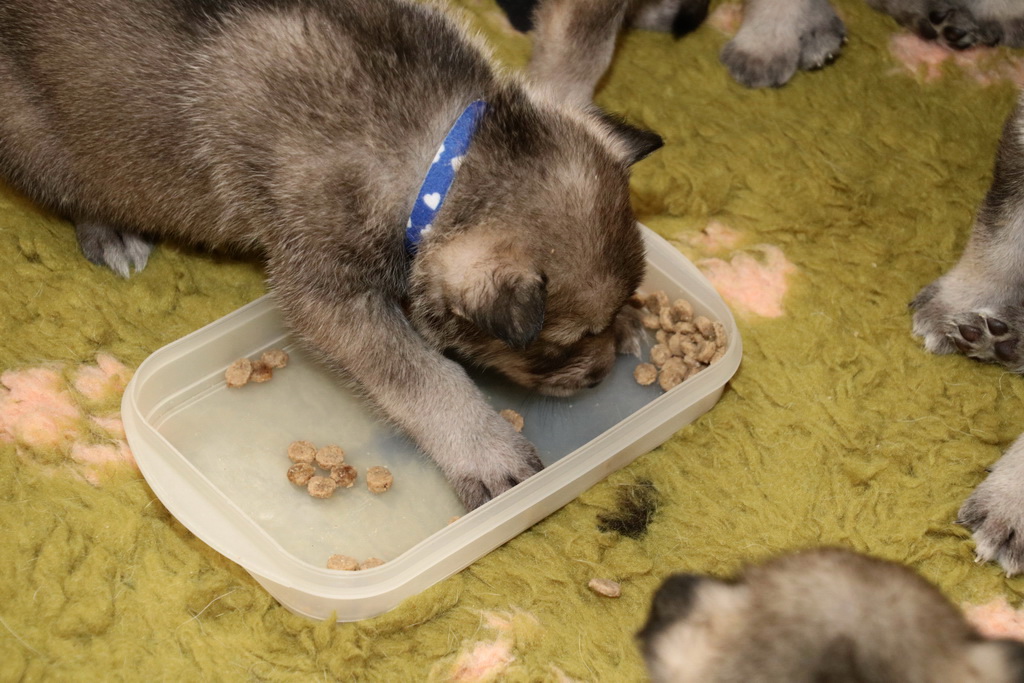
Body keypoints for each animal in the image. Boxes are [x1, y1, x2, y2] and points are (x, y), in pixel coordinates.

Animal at [0, 0, 663, 510]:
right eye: (562, 343)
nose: (600, 375)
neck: (443, 159)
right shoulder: (329, 292)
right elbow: (423, 375)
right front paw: (484, 449)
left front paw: (634, 321)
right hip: (42, 142)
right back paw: (111, 231)